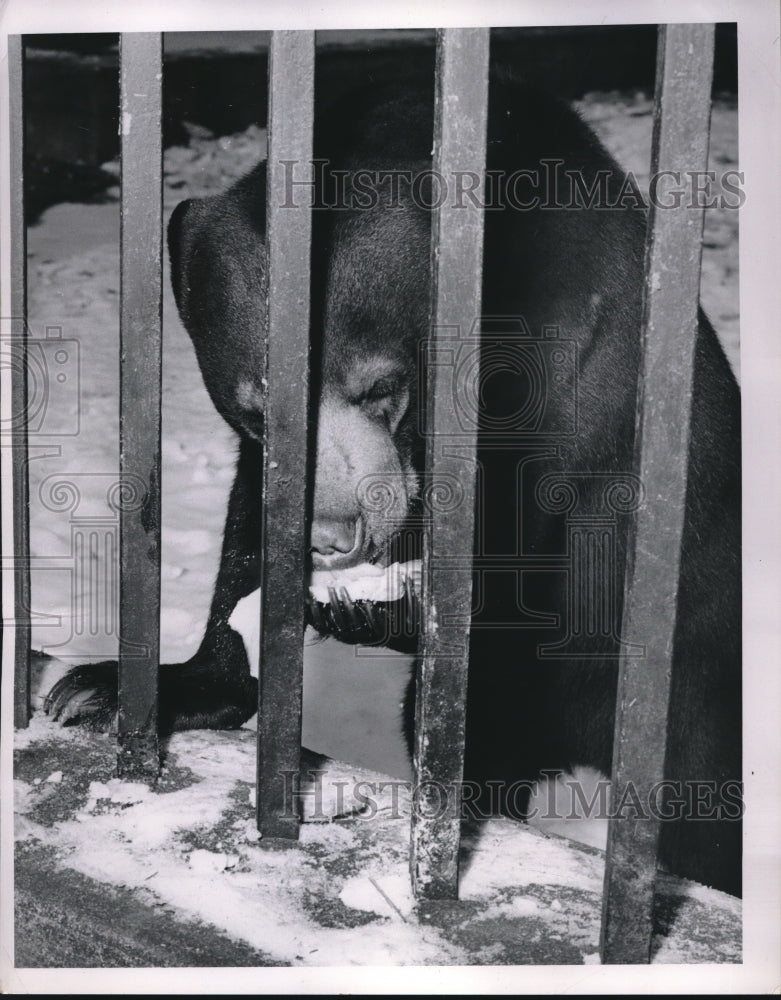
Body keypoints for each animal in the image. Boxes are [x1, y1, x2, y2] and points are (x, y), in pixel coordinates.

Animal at [44, 72, 744, 900]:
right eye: (256, 411)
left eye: (382, 386)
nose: (335, 538)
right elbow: (245, 530)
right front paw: (117, 685)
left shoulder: (572, 374)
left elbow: (505, 562)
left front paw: (367, 604)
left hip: (688, 682)